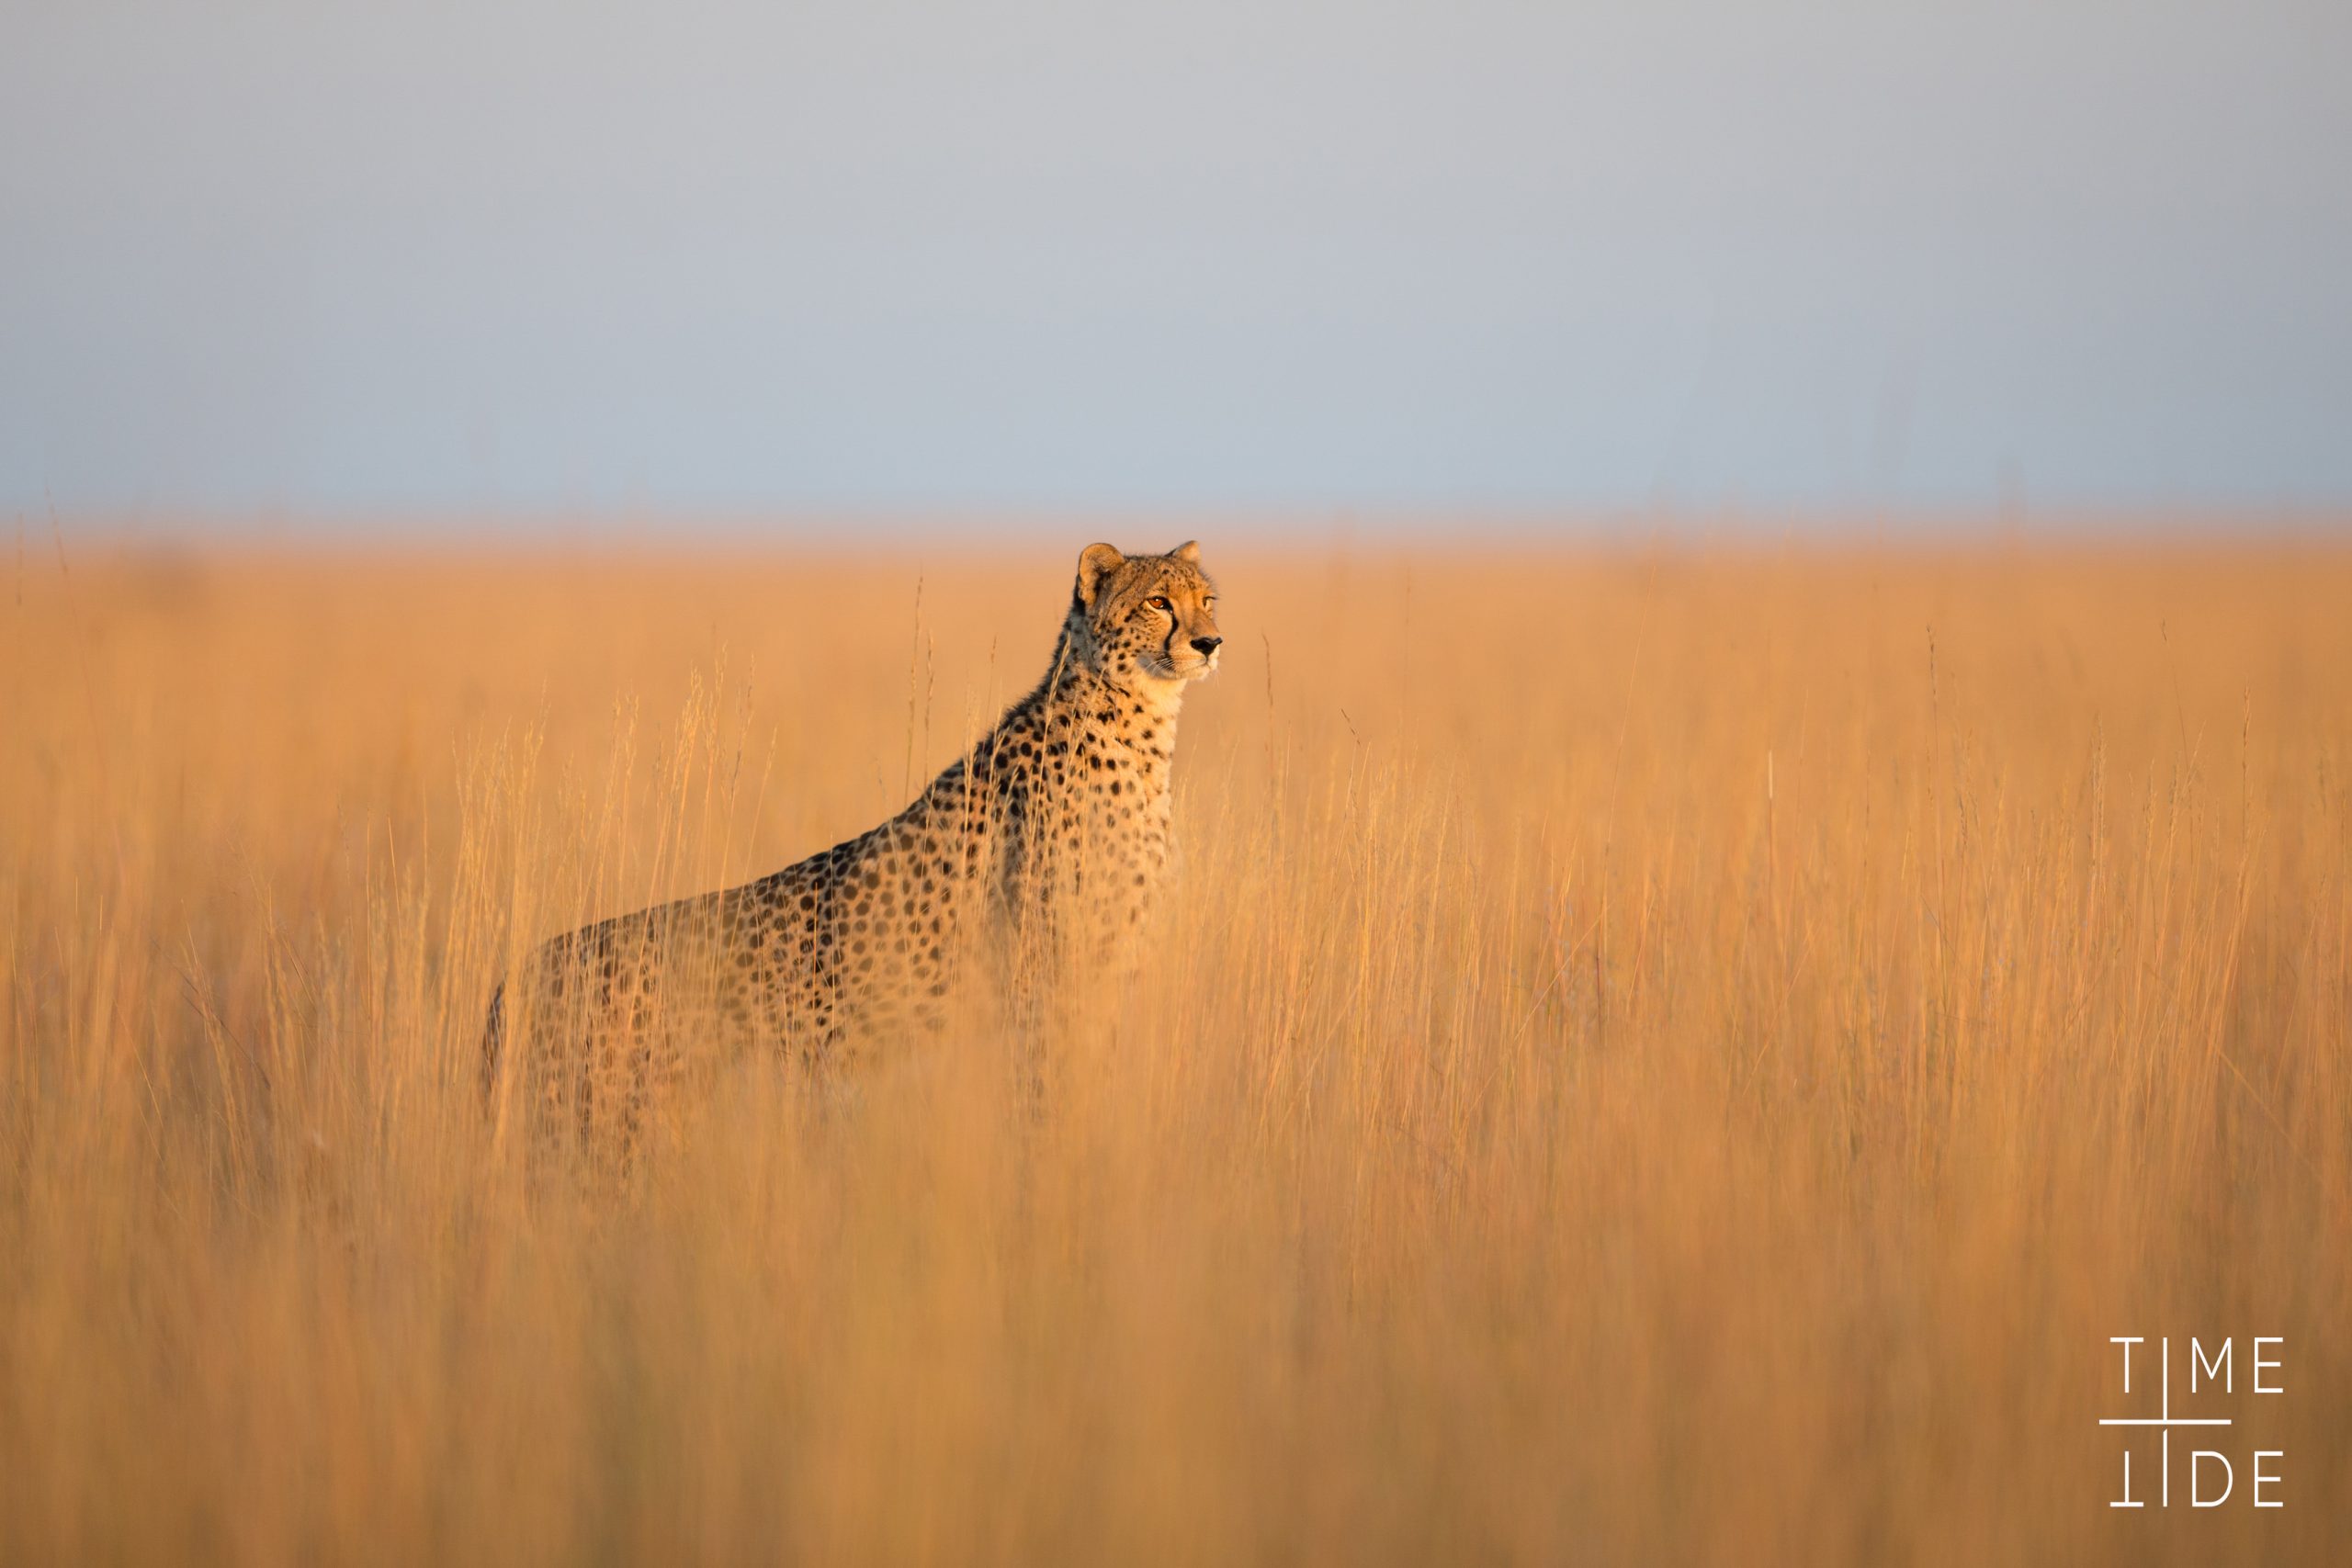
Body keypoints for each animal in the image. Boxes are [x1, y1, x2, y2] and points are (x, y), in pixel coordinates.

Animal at [475, 545, 1213, 1146]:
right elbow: (1050, 1094)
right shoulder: (1049, 975)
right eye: (1157, 602)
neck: (1139, 725)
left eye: (1207, 599)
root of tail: (523, 970)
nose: (1211, 642)